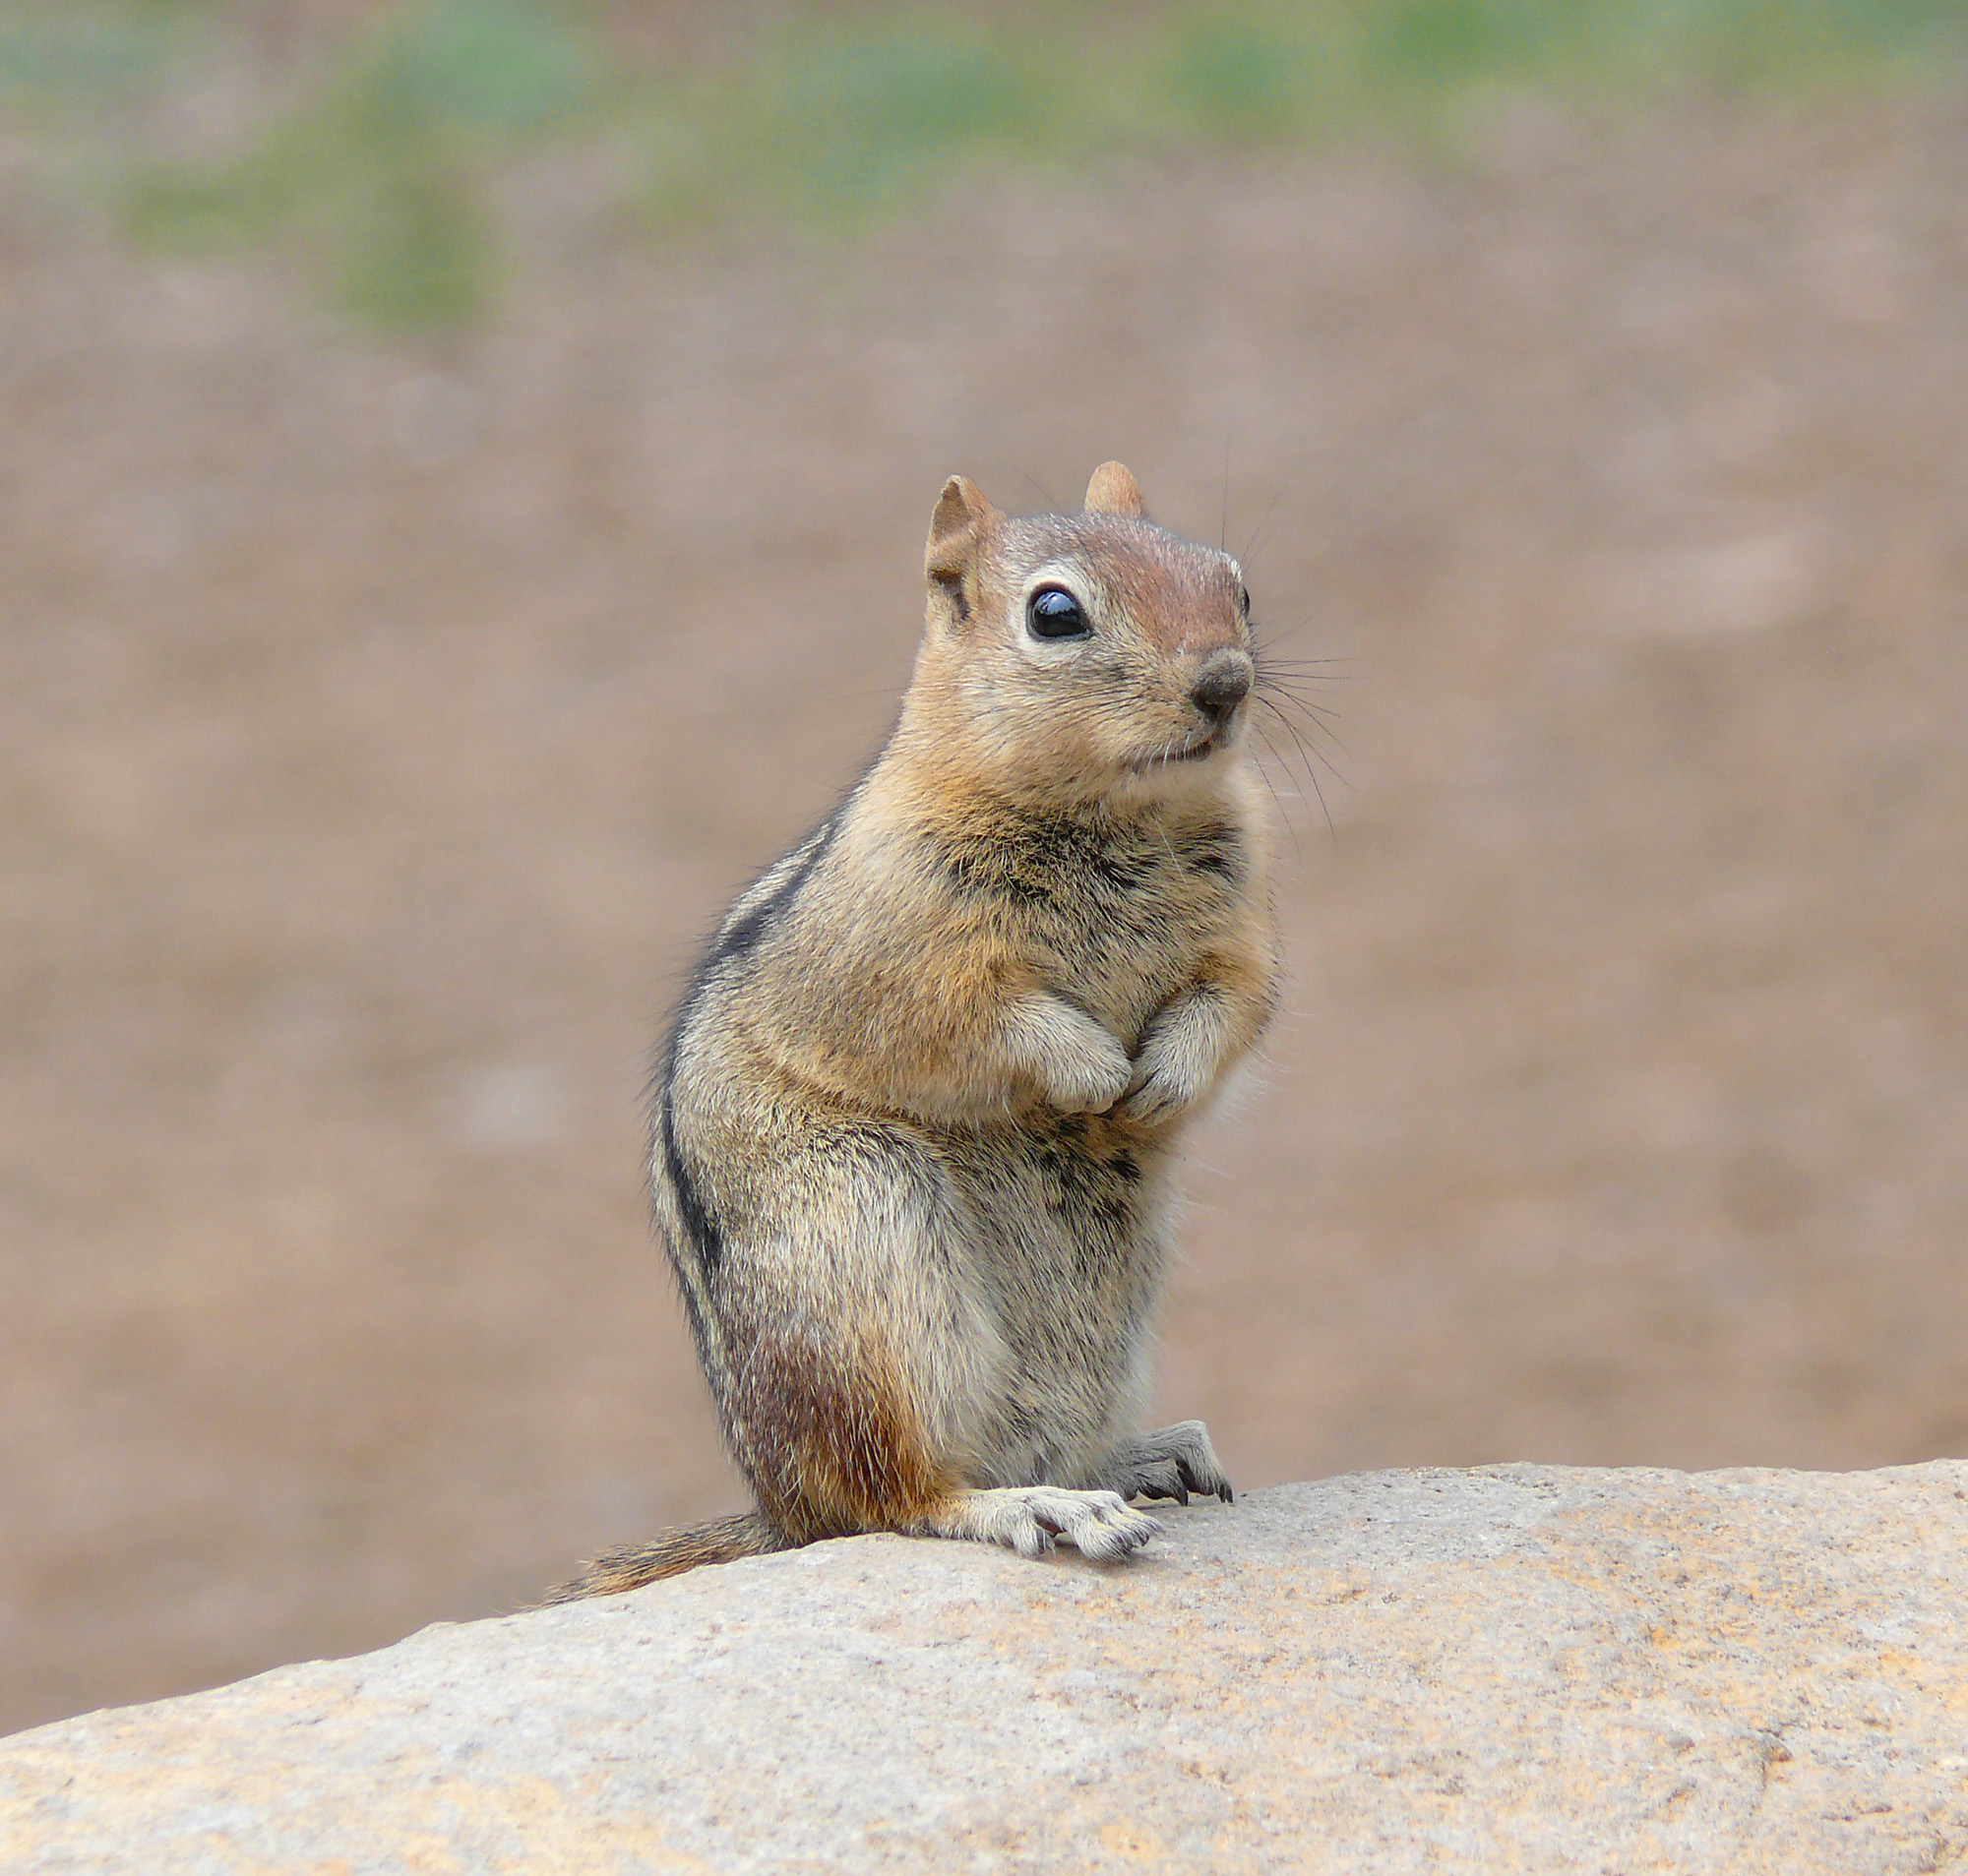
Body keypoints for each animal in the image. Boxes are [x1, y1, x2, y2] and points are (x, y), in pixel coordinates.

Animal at [545, 461, 1279, 1599]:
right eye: (1054, 613)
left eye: (1235, 585)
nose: (1227, 682)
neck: (1116, 813)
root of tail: (780, 1511)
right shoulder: (902, 952)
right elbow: (986, 1021)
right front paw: (1087, 1066)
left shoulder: (1241, 932)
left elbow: (1234, 999)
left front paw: (1163, 1075)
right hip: (871, 1245)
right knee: (894, 1496)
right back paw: (1039, 1504)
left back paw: (1141, 1457)